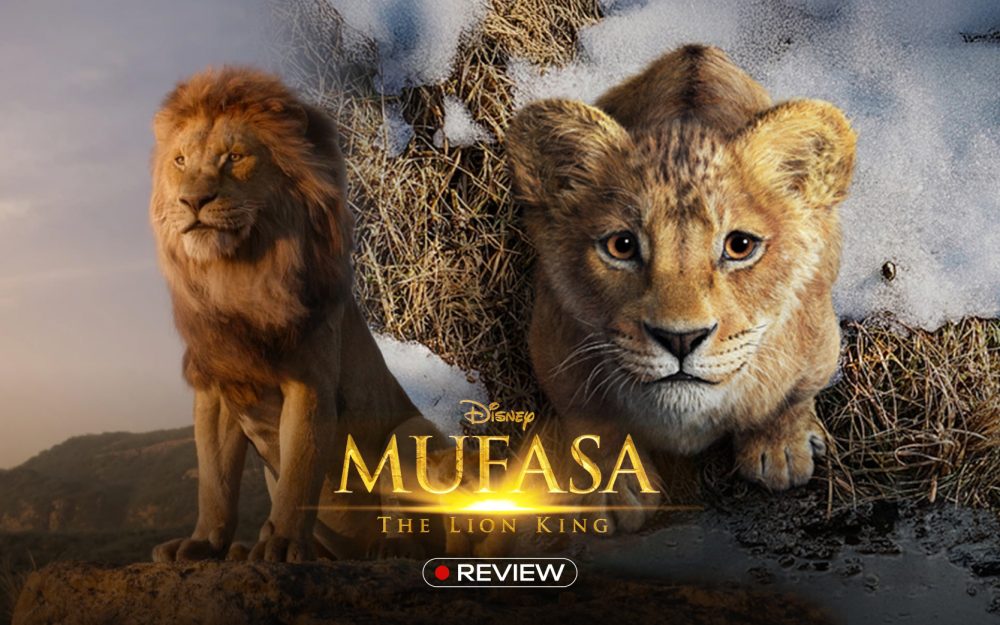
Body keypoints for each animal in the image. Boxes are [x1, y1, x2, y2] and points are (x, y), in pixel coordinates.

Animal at [148, 66, 446, 562]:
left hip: (411, 432)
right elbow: (214, 482)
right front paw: (203, 543)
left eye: (235, 157)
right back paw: (246, 549)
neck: (237, 275)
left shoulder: (310, 385)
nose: (193, 201)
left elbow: (300, 475)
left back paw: (390, 549)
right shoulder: (217, 389)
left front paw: (284, 544)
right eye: (180, 161)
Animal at [506, 45, 856, 532]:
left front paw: (780, 450)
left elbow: (790, 398)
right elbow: (594, 425)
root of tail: (696, 50)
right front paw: (614, 488)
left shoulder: (819, 341)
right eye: (621, 245)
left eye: (740, 246)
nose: (681, 339)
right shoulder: (555, 350)